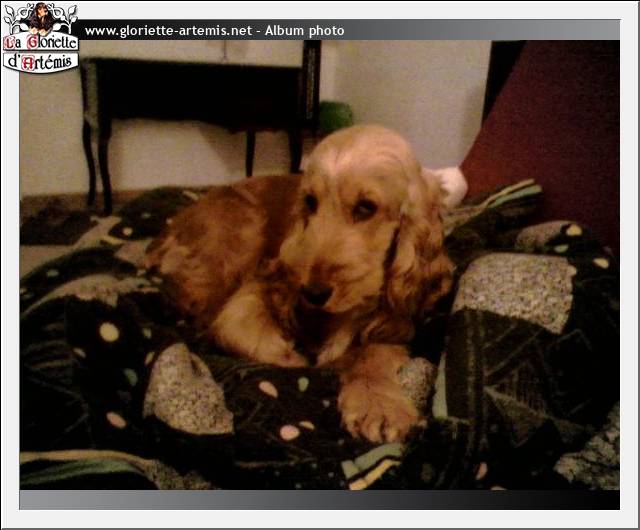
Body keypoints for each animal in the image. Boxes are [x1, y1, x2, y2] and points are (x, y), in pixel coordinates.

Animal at [145, 124, 454, 444]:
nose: (312, 293)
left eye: (366, 207)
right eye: (310, 202)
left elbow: (373, 354)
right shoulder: (261, 284)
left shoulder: (393, 324)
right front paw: (293, 356)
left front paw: (378, 404)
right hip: (241, 234)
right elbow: (235, 325)